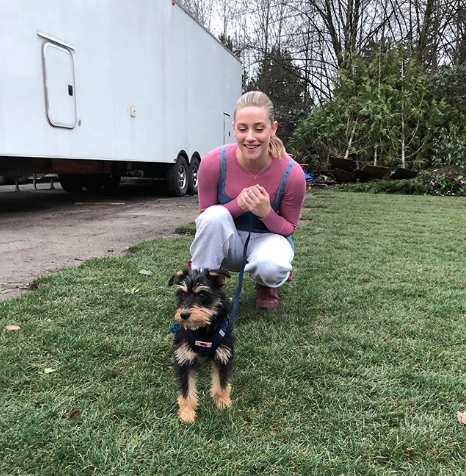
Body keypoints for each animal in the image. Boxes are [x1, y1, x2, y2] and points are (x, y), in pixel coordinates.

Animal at [167, 268, 233, 424]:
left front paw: (222, 401)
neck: (203, 331)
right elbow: (186, 388)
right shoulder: (184, 359)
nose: (184, 314)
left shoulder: (223, 355)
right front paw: (187, 412)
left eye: (202, 295)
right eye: (182, 295)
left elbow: (221, 382)